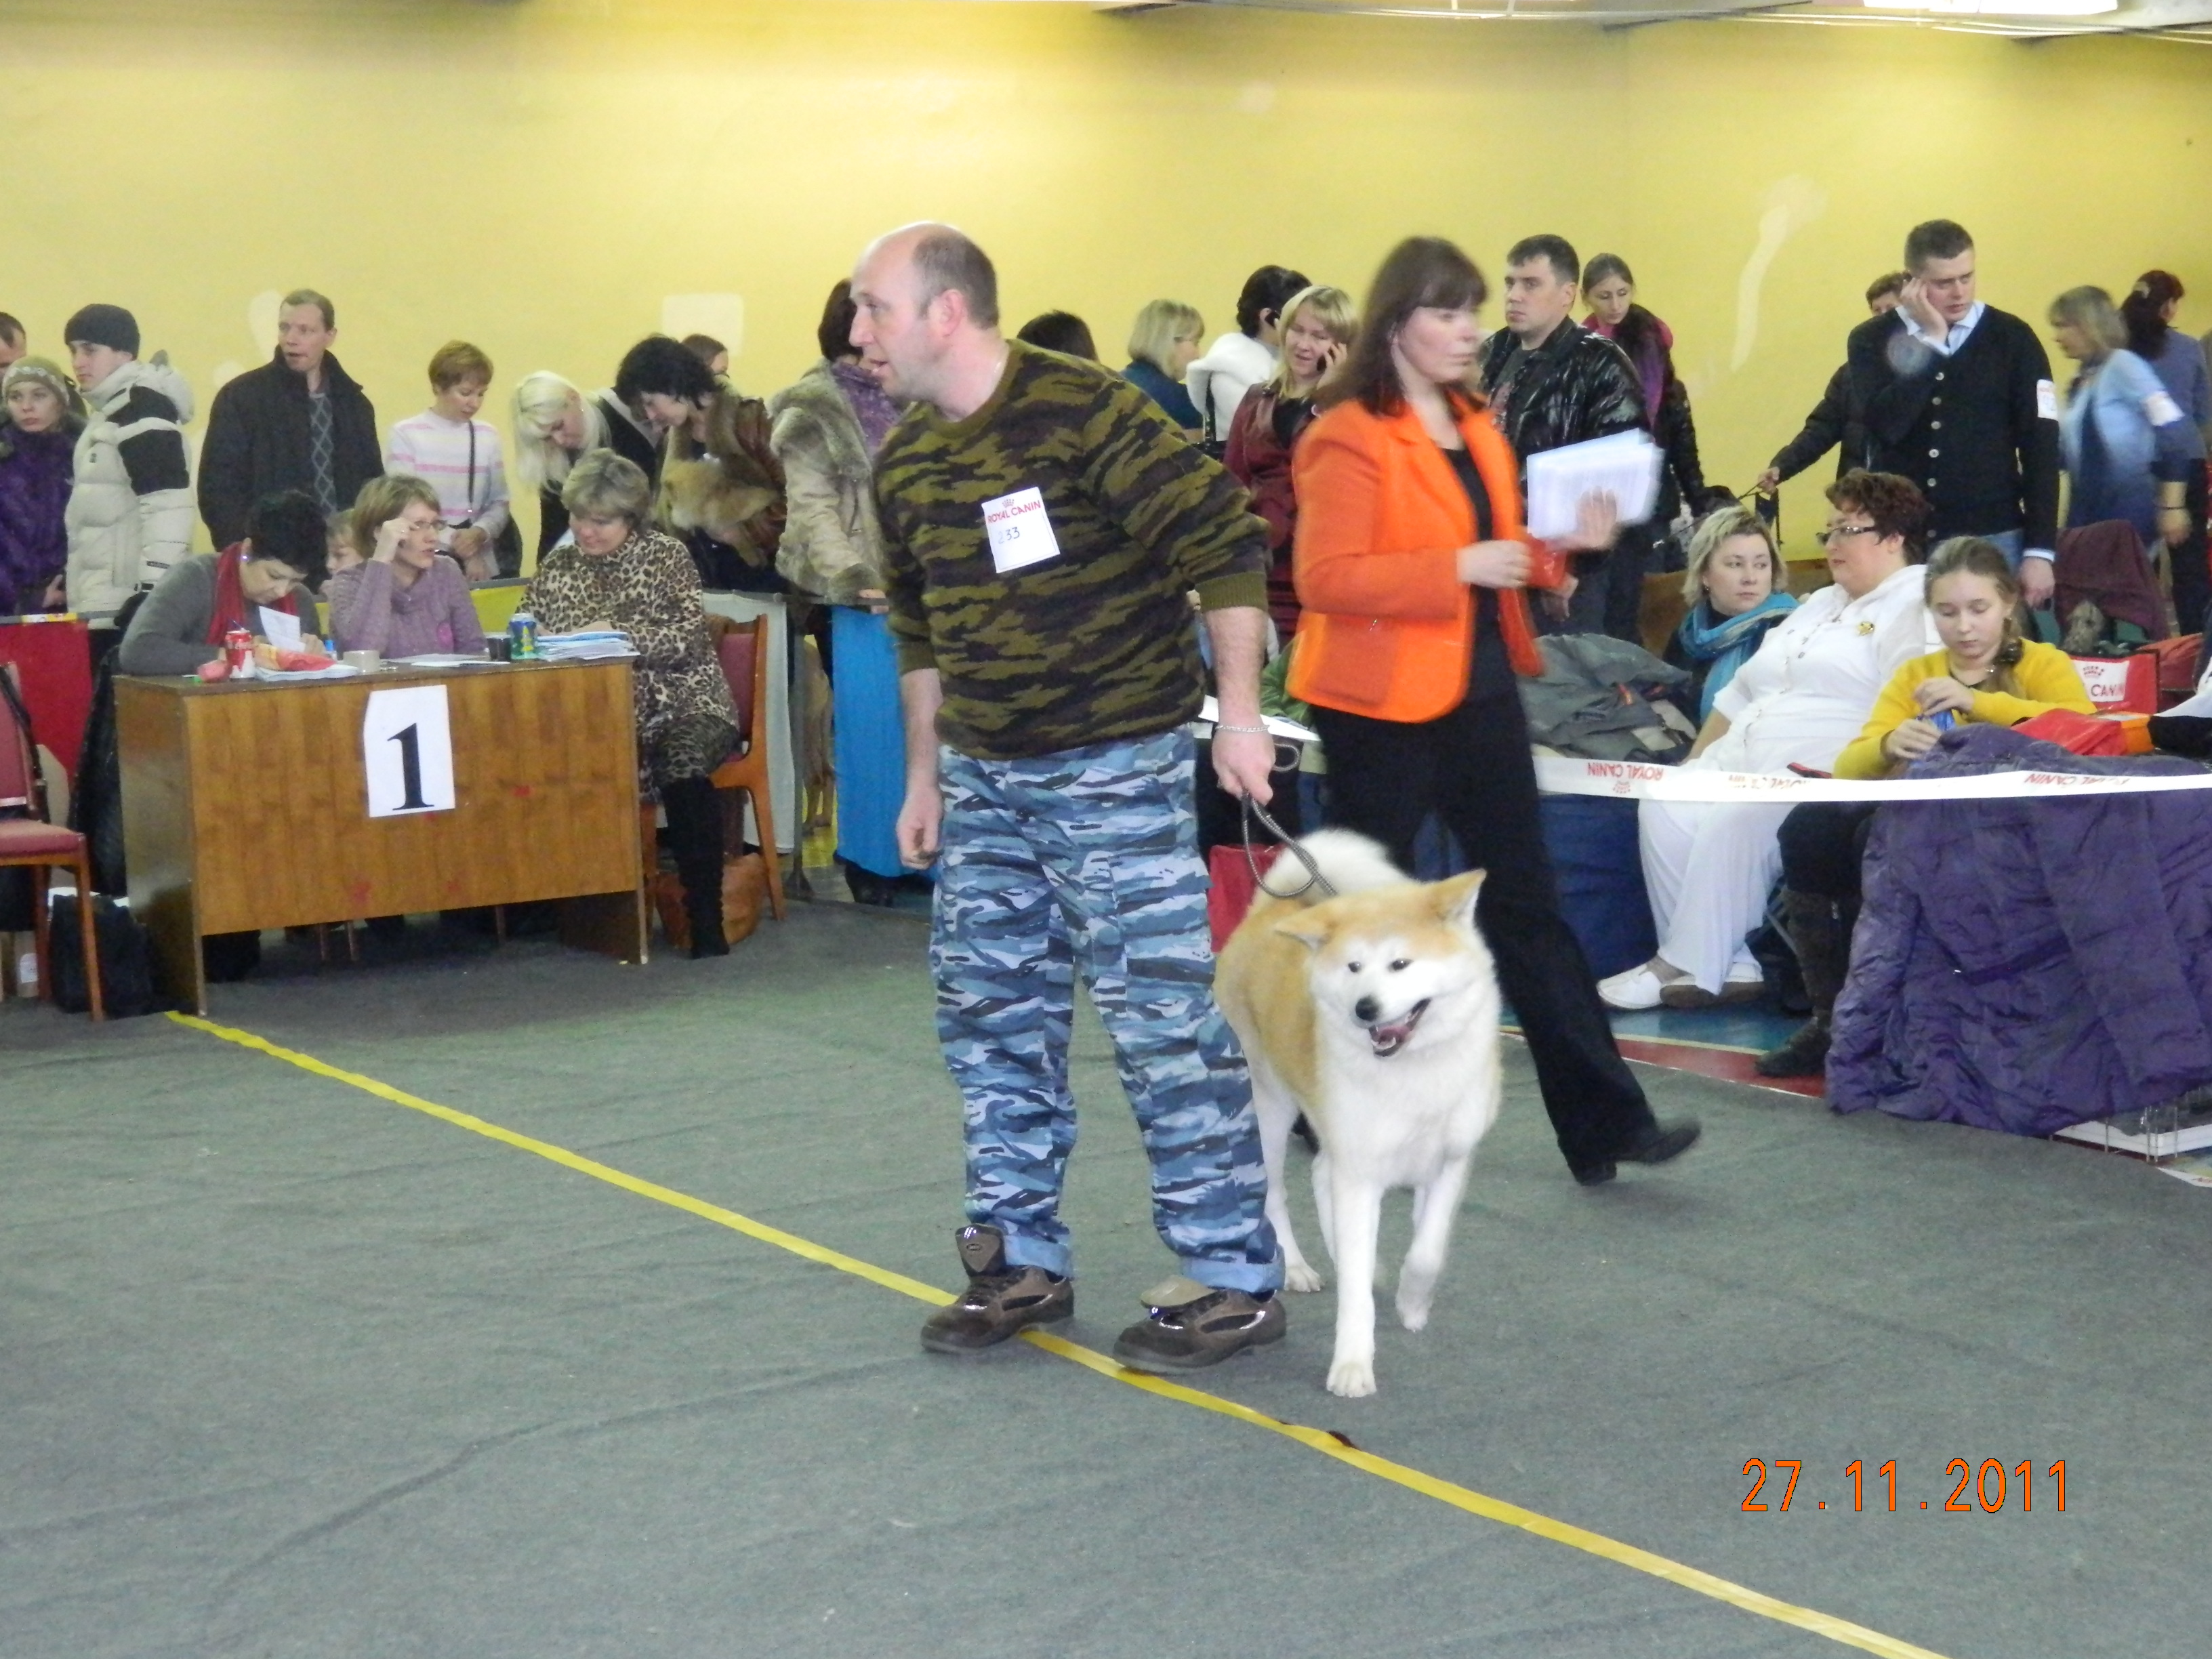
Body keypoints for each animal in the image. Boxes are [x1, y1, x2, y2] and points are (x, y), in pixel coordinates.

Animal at [1214, 830, 1502, 1398]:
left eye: (1400, 965)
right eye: (1353, 968)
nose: (1364, 1009)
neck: (1412, 1071)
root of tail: (1268, 911)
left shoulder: (1448, 1161)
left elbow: (1428, 1251)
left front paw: (1412, 1303)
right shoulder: (1361, 1168)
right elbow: (1354, 1290)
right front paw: (1352, 1365)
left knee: (1320, 1174)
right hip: (1271, 1106)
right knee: (1277, 1193)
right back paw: (1298, 1268)